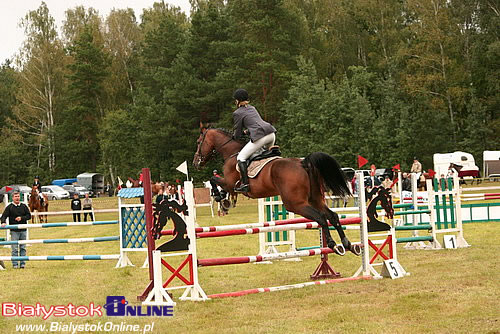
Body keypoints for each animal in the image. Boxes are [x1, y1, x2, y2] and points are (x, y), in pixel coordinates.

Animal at [191, 128, 360, 256]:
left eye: (199, 142)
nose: (195, 163)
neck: (232, 152)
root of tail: (303, 164)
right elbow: (217, 183)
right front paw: (224, 200)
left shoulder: (230, 183)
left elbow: (214, 180)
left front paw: (220, 197)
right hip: (315, 199)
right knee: (333, 216)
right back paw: (348, 244)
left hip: (295, 204)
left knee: (321, 218)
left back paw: (333, 245)